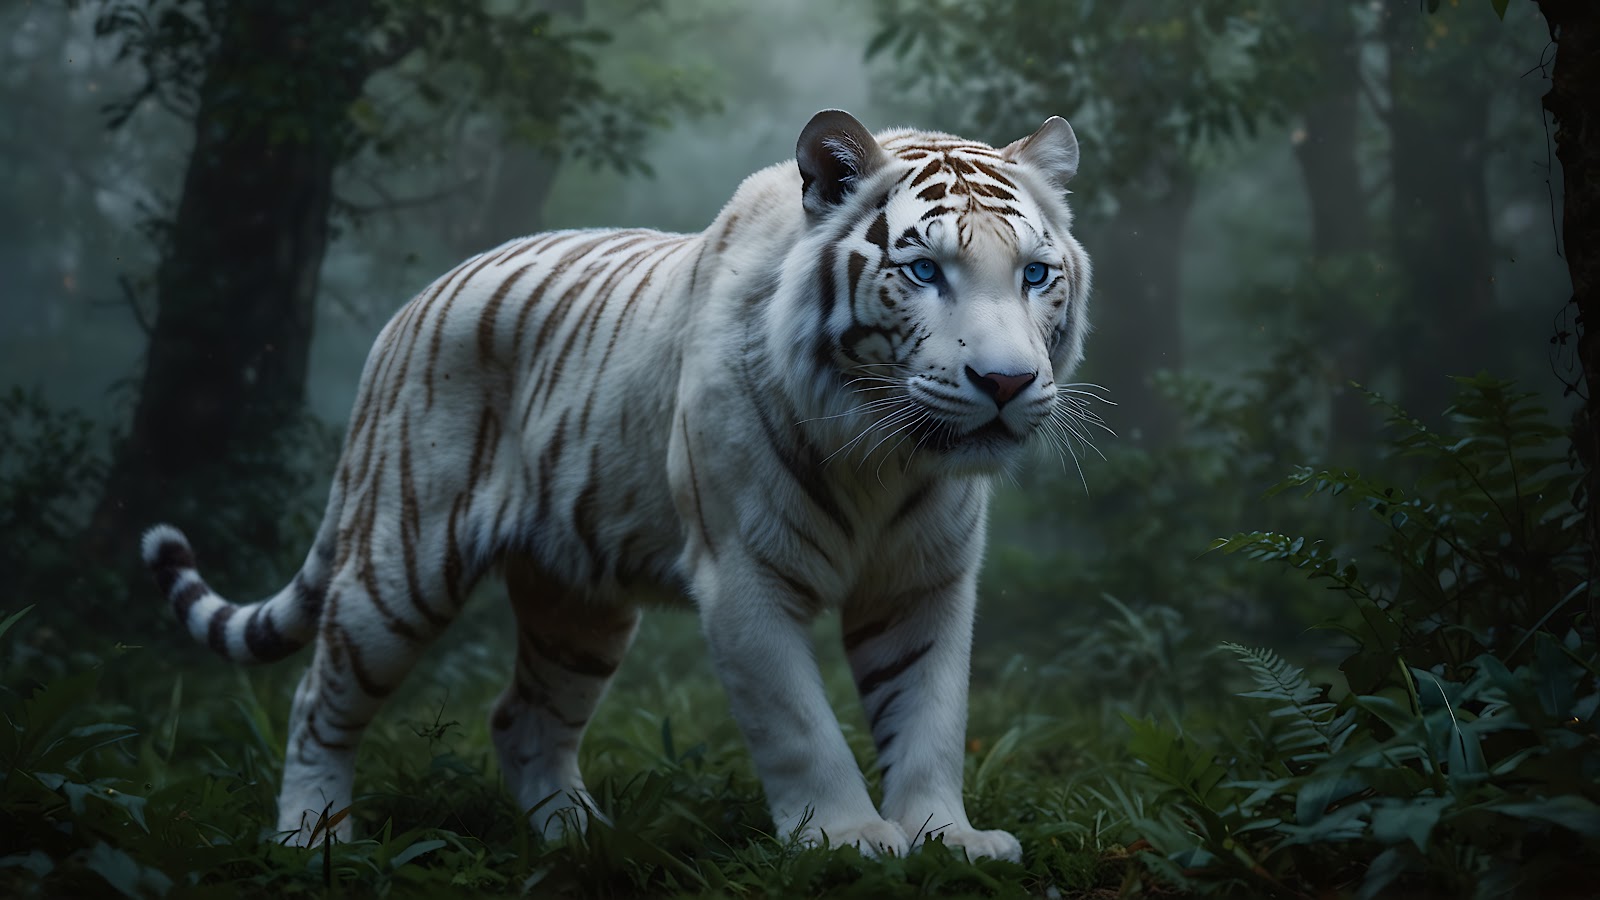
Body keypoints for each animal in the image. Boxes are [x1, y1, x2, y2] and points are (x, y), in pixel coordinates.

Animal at [140, 109, 1093, 862]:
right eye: (925, 271)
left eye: (1034, 274)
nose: (1006, 383)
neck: (883, 453)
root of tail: (412, 307)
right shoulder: (742, 574)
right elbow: (800, 726)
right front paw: (848, 840)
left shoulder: (924, 581)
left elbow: (929, 716)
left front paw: (946, 838)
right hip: (397, 567)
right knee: (317, 699)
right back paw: (312, 839)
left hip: (578, 604)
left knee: (522, 718)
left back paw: (582, 840)